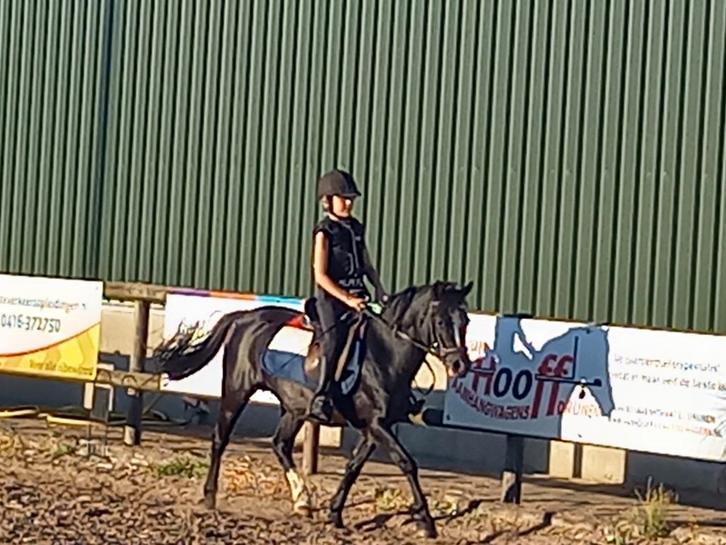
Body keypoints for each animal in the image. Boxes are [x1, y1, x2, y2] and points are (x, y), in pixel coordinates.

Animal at [153, 280, 473, 538]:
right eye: (441, 321)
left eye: (466, 320)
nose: (460, 365)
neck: (385, 354)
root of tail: (244, 317)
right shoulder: (377, 425)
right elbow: (407, 463)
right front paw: (427, 522)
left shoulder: (374, 428)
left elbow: (353, 466)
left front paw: (335, 513)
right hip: (236, 390)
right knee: (221, 438)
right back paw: (210, 497)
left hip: (293, 408)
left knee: (280, 444)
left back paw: (303, 501)